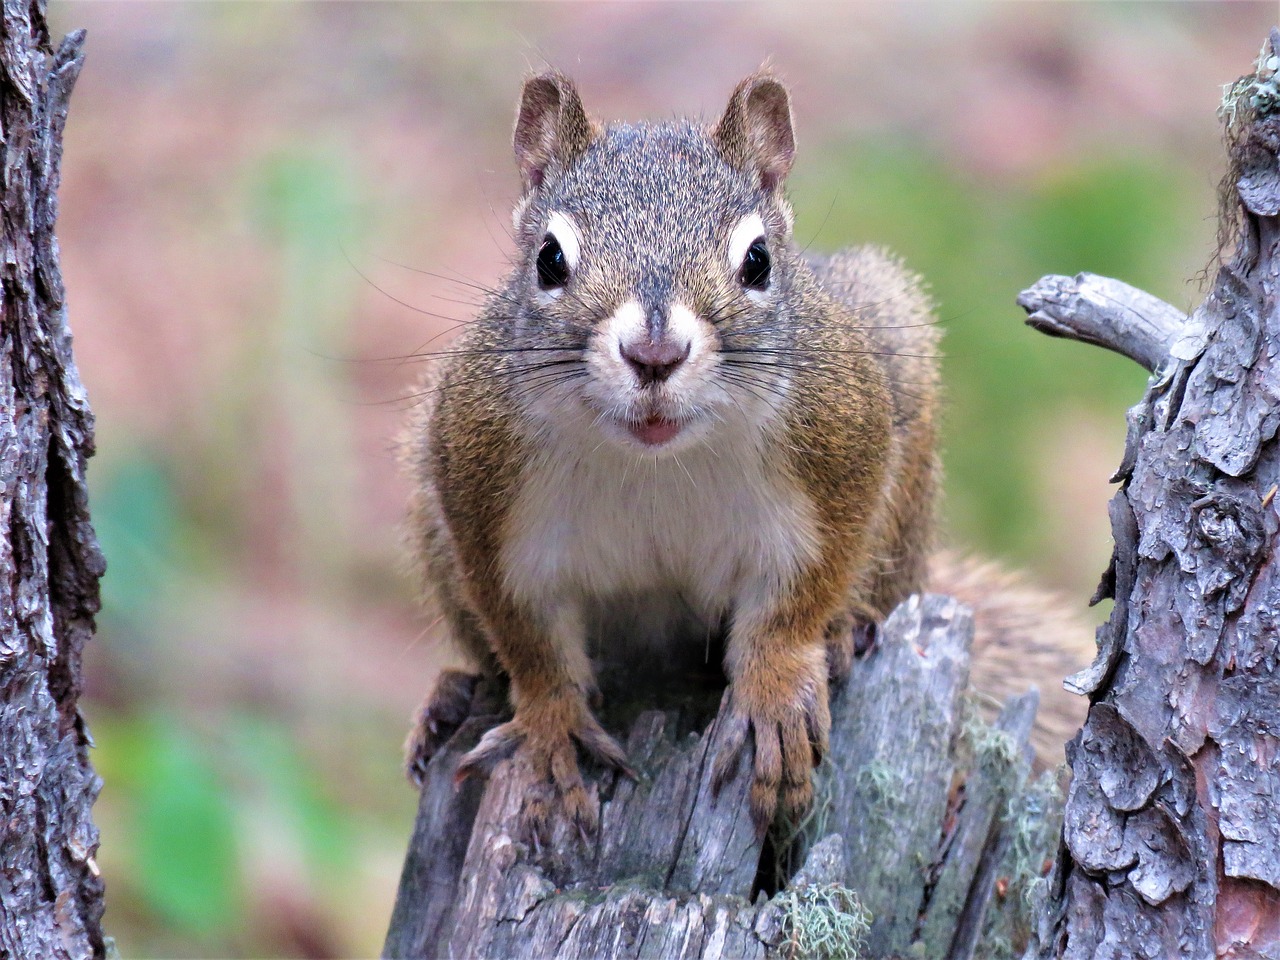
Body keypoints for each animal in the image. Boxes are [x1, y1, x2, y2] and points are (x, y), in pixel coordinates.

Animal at [399, 73, 1090, 839]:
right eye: (549, 259)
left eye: (757, 261)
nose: (655, 354)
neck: (656, 462)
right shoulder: (479, 489)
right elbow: (530, 641)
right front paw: (551, 729)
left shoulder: (841, 452)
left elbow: (799, 598)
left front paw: (776, 692)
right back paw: (450, 699)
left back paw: (846, 630)